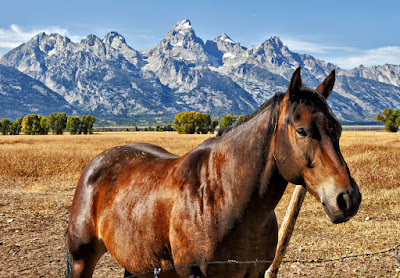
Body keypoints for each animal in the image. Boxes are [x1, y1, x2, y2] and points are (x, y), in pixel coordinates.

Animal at [66, 68, 362, 278]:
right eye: (301, 131)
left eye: (337, 128)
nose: (348, 198)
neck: (225, 199)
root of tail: (95, 164)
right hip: (82, 260)